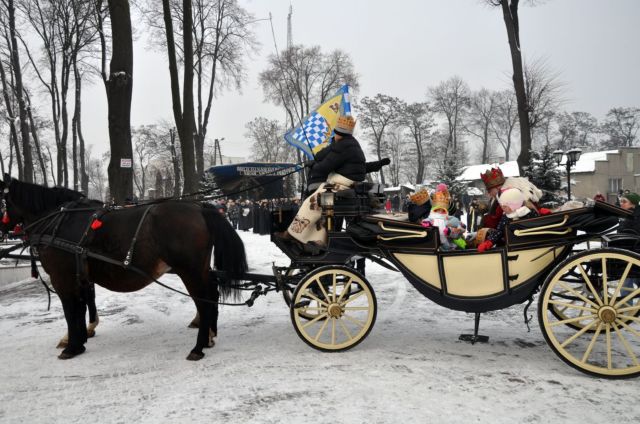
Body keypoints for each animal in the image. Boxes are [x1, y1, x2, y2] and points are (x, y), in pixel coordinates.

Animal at [1, 177, 247, 360]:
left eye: (2, 200)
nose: (4, 231)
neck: (59, 221)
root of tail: (200, 207)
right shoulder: (81, 276)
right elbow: (83, 306)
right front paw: (81, 339)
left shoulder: (63, 279)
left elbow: (71, 311)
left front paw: (72, 346)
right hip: (199, 270)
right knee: (211, 297)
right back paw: (209, 337)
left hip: (190, 271)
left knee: (204, 302)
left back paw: (198, 347)